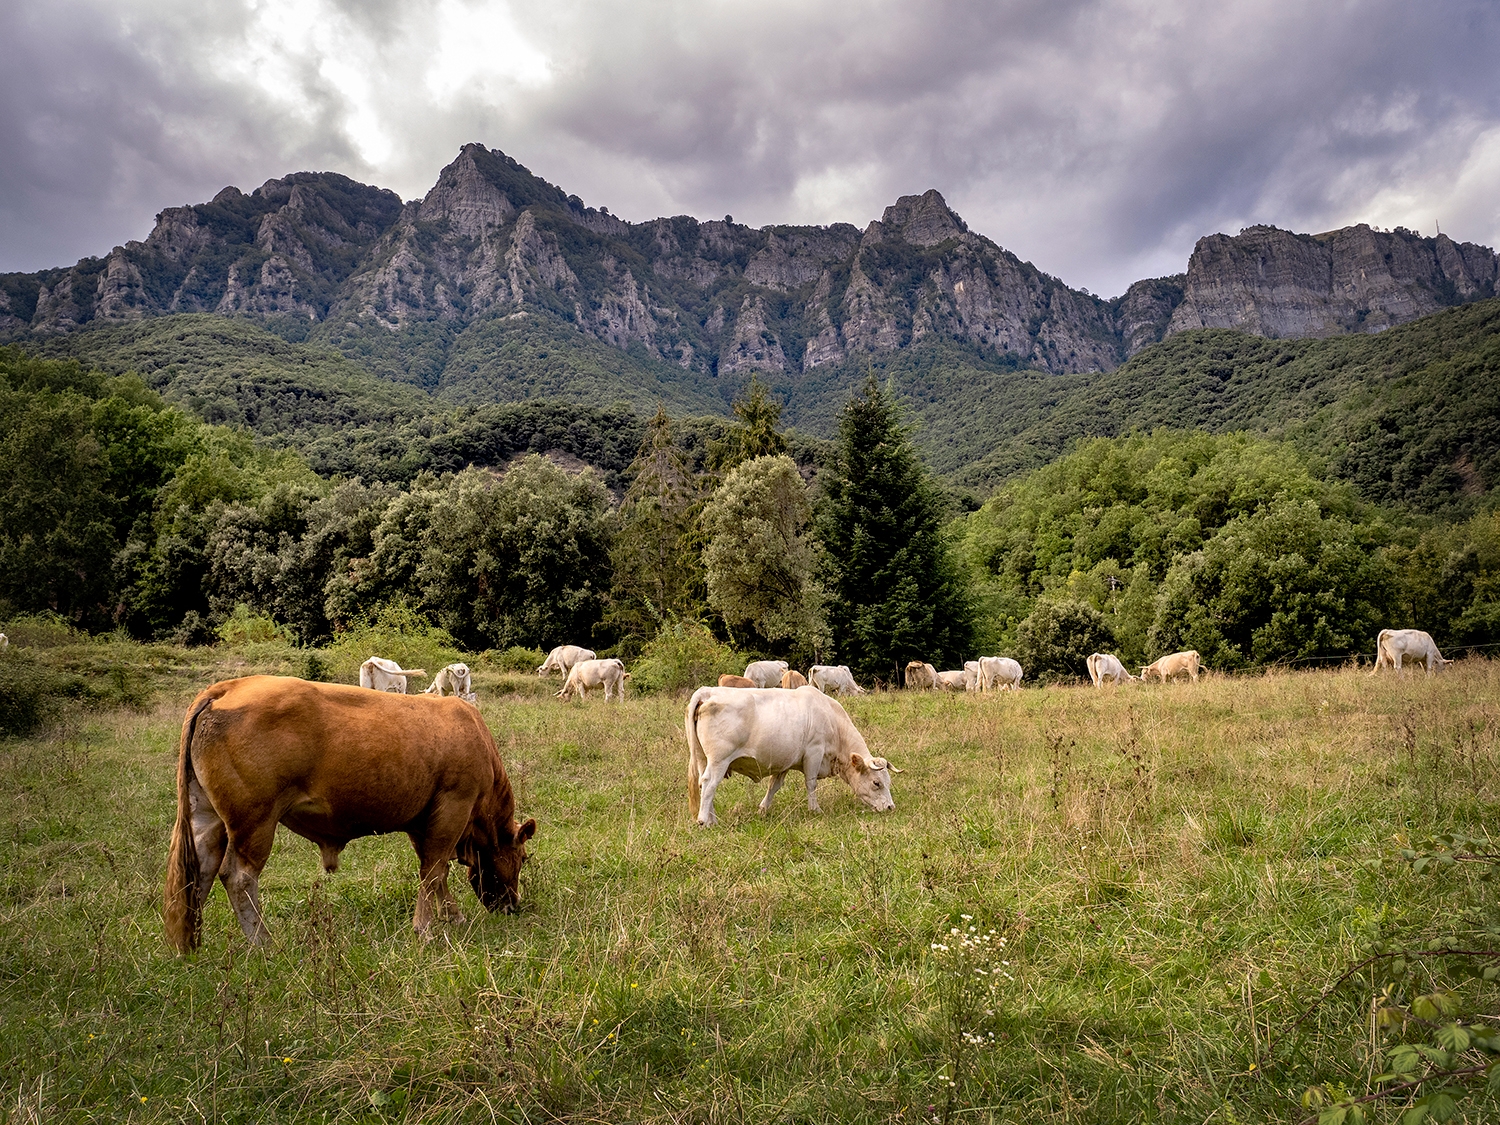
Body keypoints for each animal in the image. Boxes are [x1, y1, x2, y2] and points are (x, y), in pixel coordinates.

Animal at [162, 678, 537, 954]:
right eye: (522, 858)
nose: (513, 905)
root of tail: (227, 687)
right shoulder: (453, 806)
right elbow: (433, 871)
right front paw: (426, 928)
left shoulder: (423, 821)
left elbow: (436, 871)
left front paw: (451, 916)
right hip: (255, 822)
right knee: (238, 877)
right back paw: (265, 943)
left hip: (207, 817)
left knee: (200, 871)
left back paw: (190, 945)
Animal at [684, 687, 900, 828]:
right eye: (876, 783)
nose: (891, 807)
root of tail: (708, 691)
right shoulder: (814, 752)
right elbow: (811, 784)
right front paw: (815, 810)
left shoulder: (785, 762)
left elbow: (774, 786)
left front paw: (763, 809)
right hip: (719, 760)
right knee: (709, 783)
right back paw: (704, 821)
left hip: (703, 758)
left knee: (703, 784)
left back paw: (712, 818)